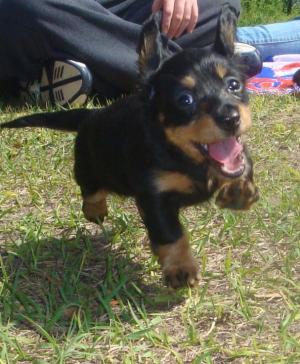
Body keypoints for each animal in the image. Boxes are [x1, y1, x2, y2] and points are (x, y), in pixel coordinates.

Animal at [0, 6, 258, 288]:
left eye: (233, 84)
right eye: (185, 99)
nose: (231, 118)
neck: (184, 156)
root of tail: (92, 114)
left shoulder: (236, 156)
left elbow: (243, 166)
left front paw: (239, 192)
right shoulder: (155, 197)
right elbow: (171, 235)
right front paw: (181, 269)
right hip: (89, 166)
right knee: (91, 191)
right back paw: (96, 210)